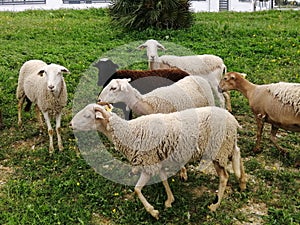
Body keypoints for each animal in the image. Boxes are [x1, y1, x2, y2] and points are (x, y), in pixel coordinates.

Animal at [70, 103, 246, 220]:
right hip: (228, 144)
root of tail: (232, 119)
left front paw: (153, 211)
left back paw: (215, 205)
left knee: (224, 177)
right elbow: (163, 179)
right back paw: (242, 181)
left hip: (219, 149)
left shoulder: (148, 163)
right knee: (238, 154)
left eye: (87, 116)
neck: (128, 132)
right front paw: (169, 200)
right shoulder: (156, 160)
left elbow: (137, 189)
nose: (71, 124)